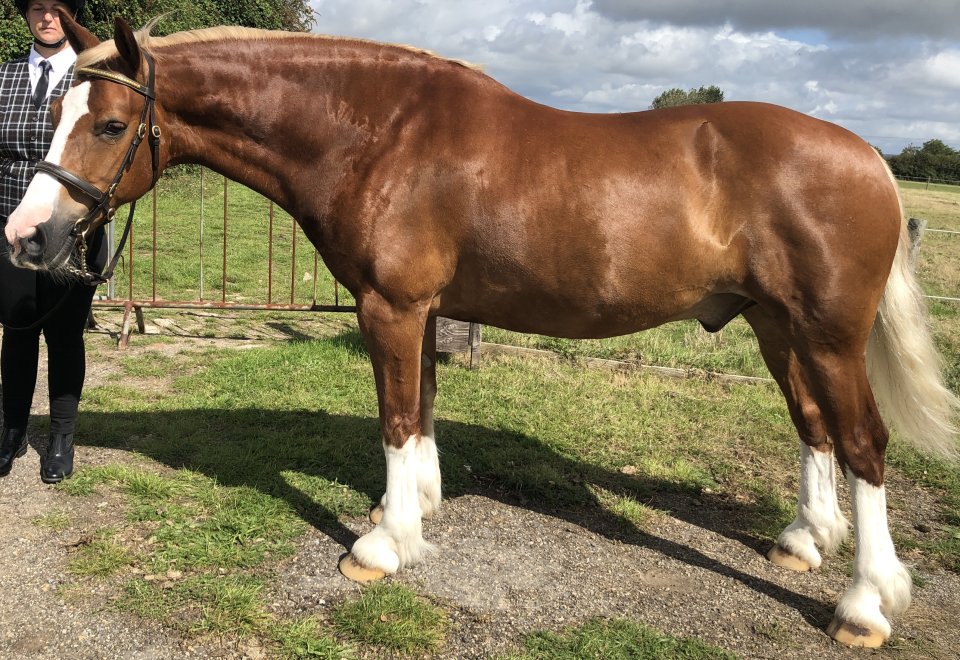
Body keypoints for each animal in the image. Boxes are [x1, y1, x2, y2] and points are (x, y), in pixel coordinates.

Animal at [5, 13, 958, 648]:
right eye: (53, 117)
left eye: (111, 125)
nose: (28, 237)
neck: (379, 135)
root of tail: (870, 157)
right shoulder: (417, 310)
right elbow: (421, 412)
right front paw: (417, 509)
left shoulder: (391, 306)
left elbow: (396, 418)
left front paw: (382, 545)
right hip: (776, 327)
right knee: (815, 427)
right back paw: (804, 541)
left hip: (828, 335)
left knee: (865, 443)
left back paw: (866, 603)